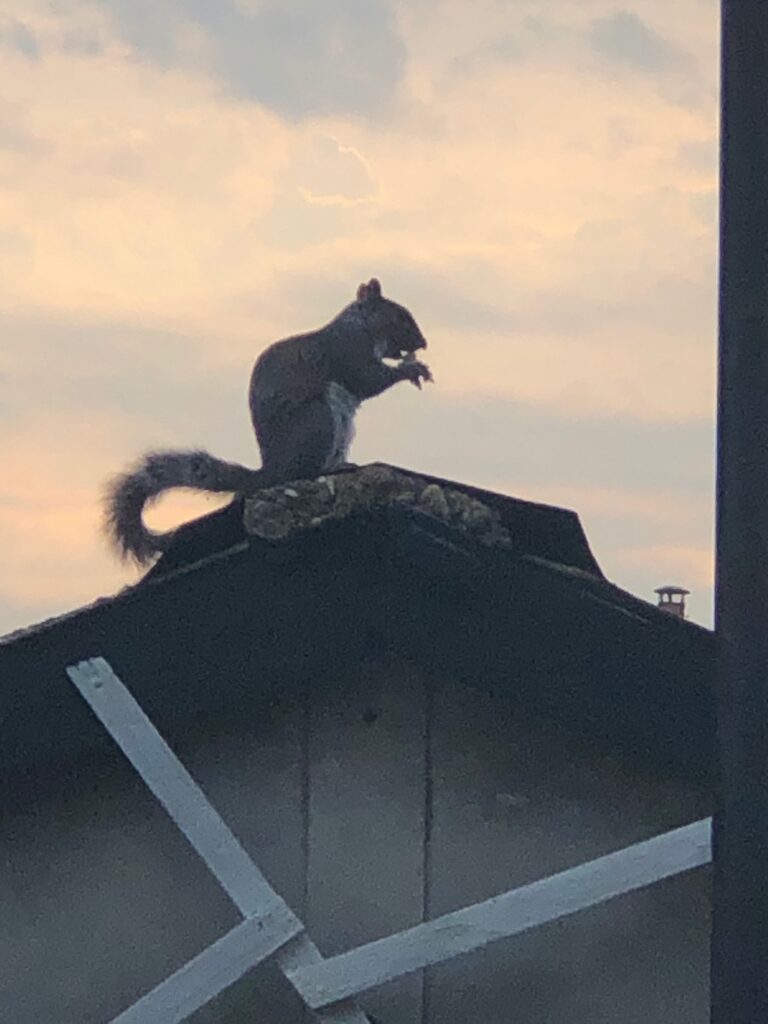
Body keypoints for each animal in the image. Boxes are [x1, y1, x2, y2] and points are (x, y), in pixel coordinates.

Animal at [105, 278, 432, 565]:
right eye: (400, 315)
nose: (423, 343)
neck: (360, 326)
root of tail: (270, 470)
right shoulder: (348, 351)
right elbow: (369, 380)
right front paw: (411, 368)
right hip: (318, 420)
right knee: (301, 473)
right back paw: (328, 469)